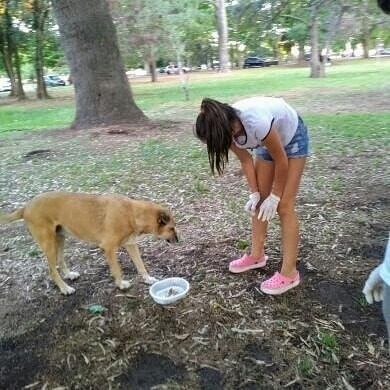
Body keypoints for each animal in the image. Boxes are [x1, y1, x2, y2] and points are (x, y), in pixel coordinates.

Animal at [0, 190, 178, 294]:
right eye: (172, 228)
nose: (178, 240)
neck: (132, 213)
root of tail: (26, 207)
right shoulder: (109, 248)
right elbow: (117, 269)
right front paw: (121, 284)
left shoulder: (131, 245)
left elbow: (141, 265)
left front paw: (148, 279)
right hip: (49, 244)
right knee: (51, 270)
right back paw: (65, 288)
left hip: (60, 238)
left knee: (60, 261)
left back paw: (69, 275)